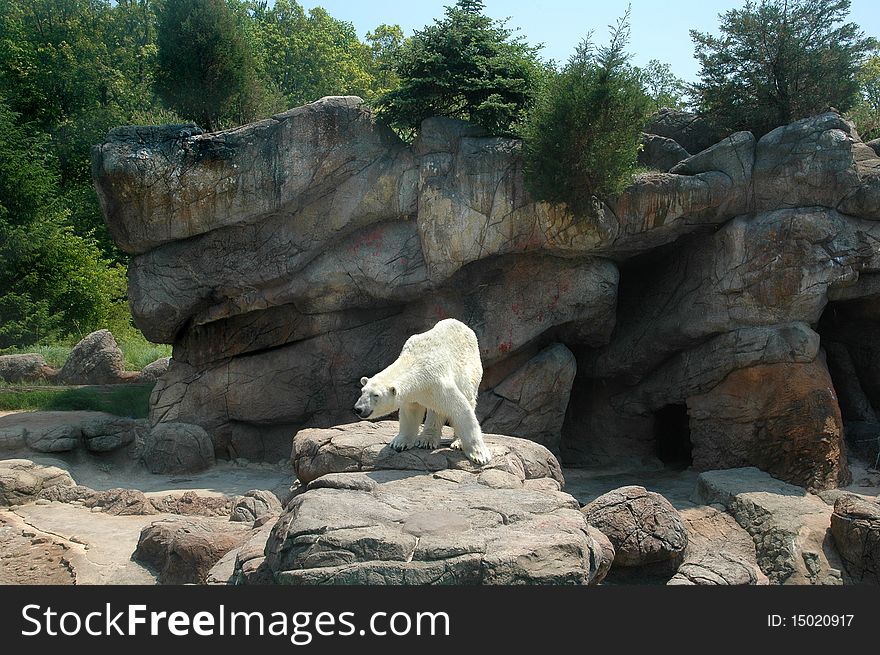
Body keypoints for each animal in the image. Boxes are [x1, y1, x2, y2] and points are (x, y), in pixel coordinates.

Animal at [352, 320, 492, 464]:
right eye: (362, 391)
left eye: (376, 395)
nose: (358, 409)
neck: (416, 361)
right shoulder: (414, 393)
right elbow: (411, 412)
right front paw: (399, 443)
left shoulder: (438, 382)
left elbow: (460, 410)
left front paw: (480, 455)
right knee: (436, 409)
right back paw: (426, 440)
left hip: (470, 369)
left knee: (467, 397)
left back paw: (457, 442)